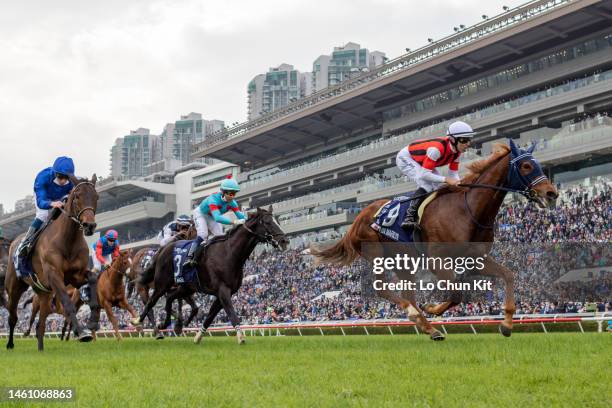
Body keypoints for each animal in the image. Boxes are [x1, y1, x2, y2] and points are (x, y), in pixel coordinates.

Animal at [4, 175, 99, 350]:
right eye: (77, 196)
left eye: (96, 196)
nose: (89, 225)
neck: (67, 240)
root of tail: (13, 242)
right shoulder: (54, 275)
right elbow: (67, 303)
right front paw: (81, 333)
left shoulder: (77, 275)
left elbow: (93, 278)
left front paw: (93, 321)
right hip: (14, 288)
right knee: (13, 316)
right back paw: (10, 344)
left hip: (43, 293)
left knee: (40, 324)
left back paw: (41, 348)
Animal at [135, 207, 288, 344]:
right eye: (267, 222)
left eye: (277, 220)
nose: (285, 241)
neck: (229, 253)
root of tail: (163, 249)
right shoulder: (222, 290)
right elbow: (231, 313)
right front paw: (240, 337)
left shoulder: (224, 292)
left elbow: (210, 316)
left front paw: (198, 337)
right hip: (162, 283)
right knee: (151, 301)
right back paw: (139, 322)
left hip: (186, 287)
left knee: (170, 298)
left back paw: (169, 324)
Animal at [314, 142, 556, 340]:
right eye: (526, 166)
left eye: (537, 164)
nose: (551, 193)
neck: (468, 210)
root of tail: (358, 217)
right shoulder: (436, 260)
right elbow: (456, 293)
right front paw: (432, 309)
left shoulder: (476, 259)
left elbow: (508, 275)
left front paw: (506, 325)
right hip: (376, 254)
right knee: (382, 288)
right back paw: (417, 315)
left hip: (404, 261)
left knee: (406, 292)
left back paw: (429, 328)